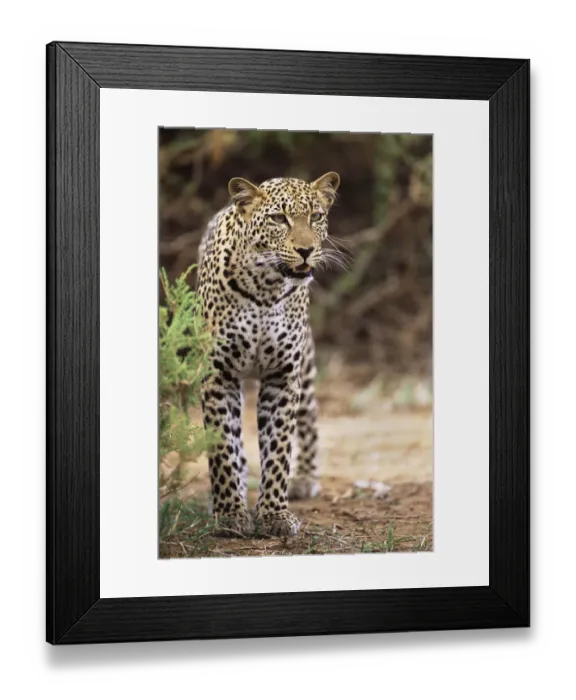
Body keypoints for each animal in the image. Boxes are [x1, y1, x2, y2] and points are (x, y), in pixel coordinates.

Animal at [197, 171, 341, 538]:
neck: (265, 287)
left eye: (316, 216)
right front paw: (230, 514)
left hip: (306, 368)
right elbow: (222, 446)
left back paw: (304, 478)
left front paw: (275, 515)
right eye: (278, 218)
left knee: (310, 418)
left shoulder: (283, 375)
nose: (306, 250)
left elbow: (278, 448)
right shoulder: (219, 374)